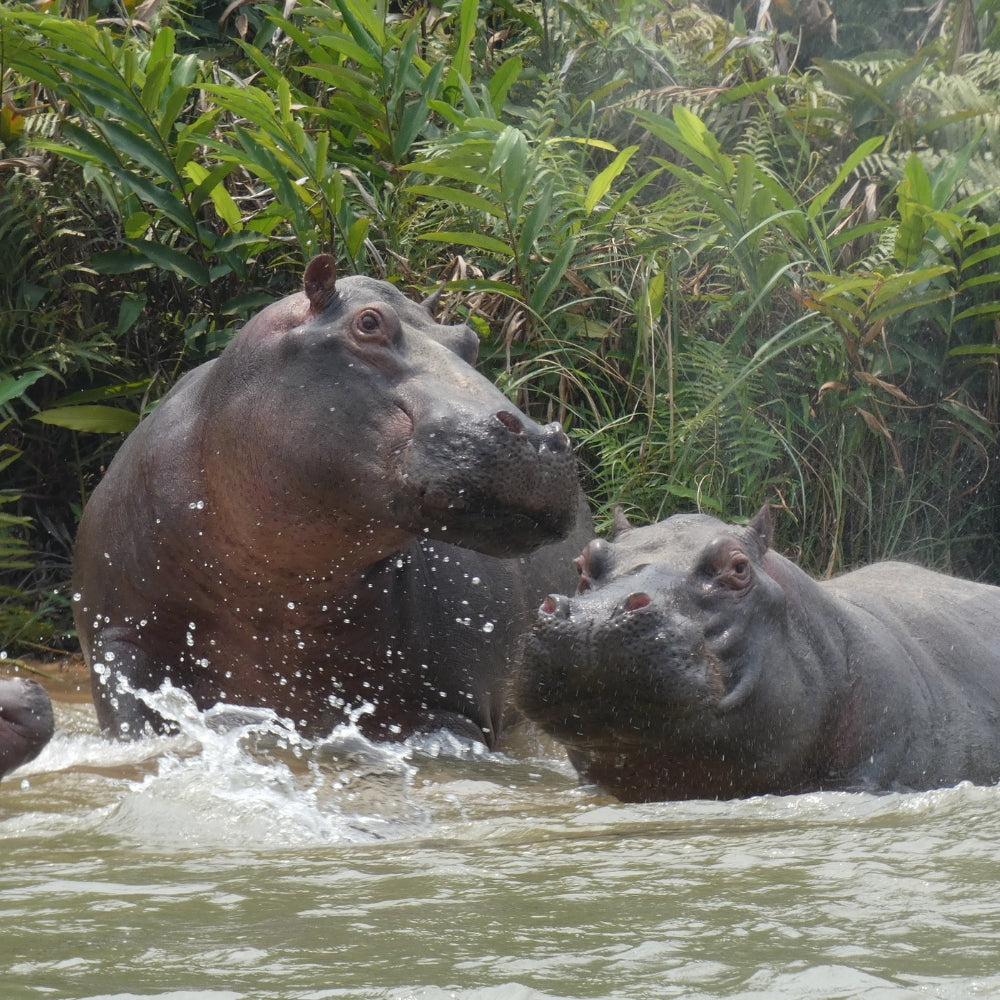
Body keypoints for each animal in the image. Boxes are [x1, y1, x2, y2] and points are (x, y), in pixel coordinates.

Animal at [73, 254, 591, 745]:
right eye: (369, 322)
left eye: (468, 340)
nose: (540, 436)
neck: (276, 582)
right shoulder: (119, 639)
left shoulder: (453, 704)